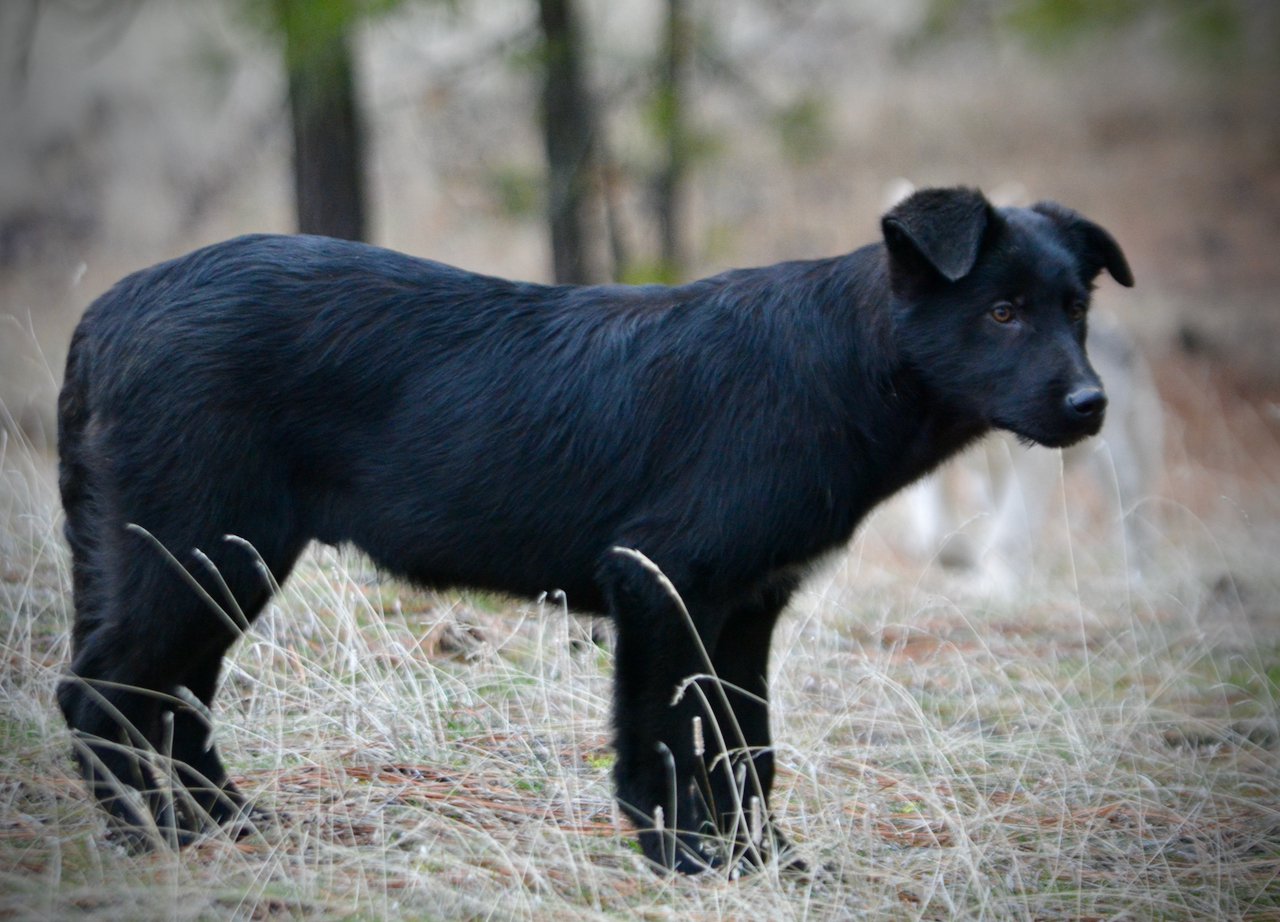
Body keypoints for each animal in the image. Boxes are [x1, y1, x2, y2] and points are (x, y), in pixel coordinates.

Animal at [55, 185, 1131, 870]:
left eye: (1075, 308)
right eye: (1001, 311)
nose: (1091, 406)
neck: (834, 366)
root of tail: (110, 311)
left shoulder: (745, 608)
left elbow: (745, 748)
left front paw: (766, 863)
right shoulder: (658, 582)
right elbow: (662, 743)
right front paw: (683, 860)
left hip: (207, 564)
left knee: (169, 703)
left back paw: (224, 827)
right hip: (200, 554)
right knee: (100, 694)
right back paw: (151, 838)